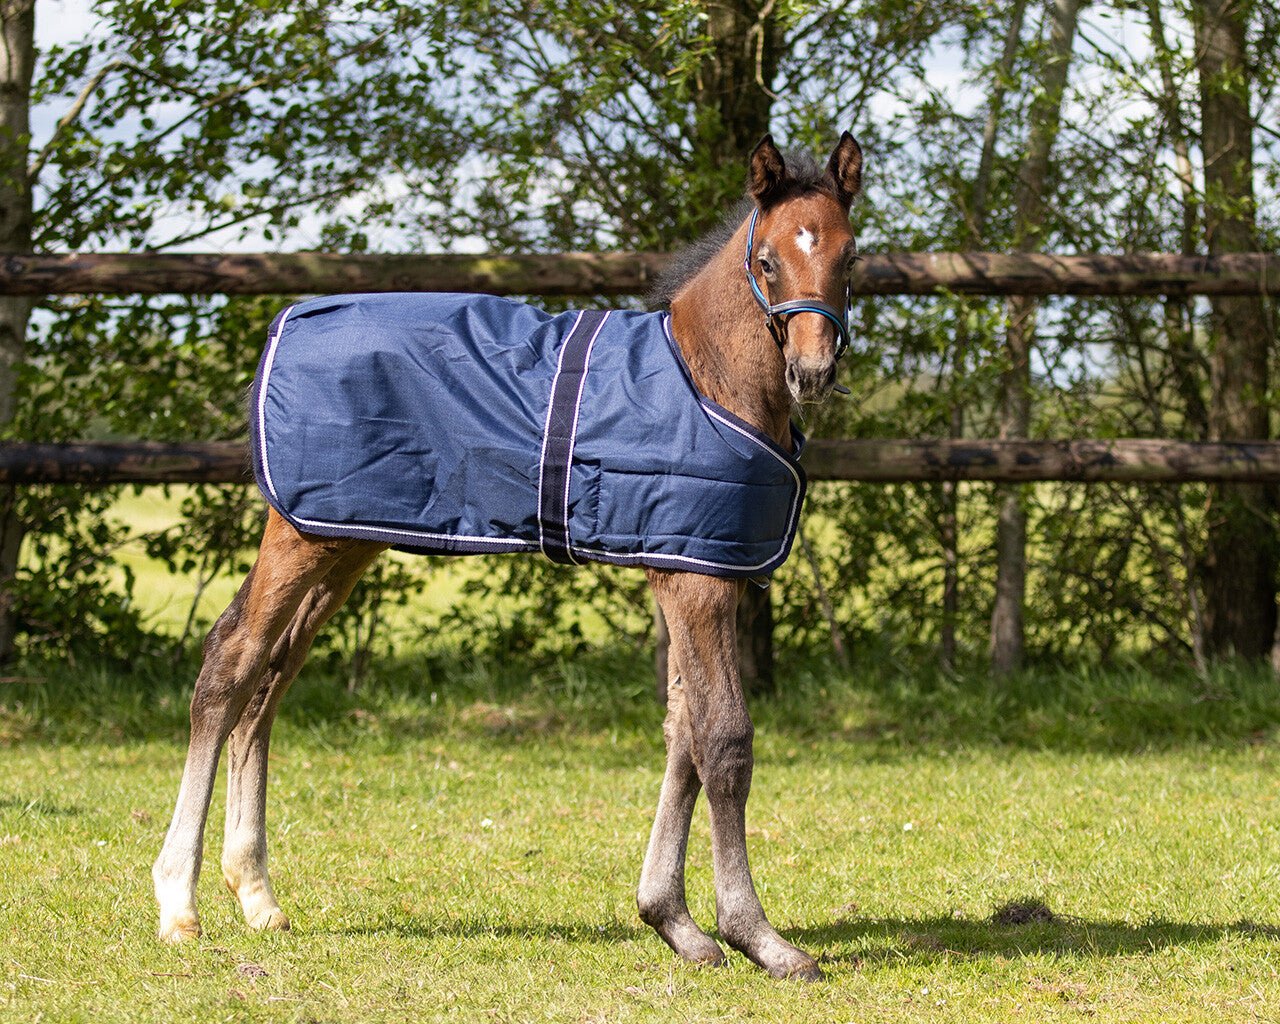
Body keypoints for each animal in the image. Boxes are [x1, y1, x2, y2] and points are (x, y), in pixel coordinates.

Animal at [152, 132, 863, 982]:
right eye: (767, 262)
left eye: (851, 257)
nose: (813, 372)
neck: (705, 379)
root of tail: (287, 321)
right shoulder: (695, 585)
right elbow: (722, 742)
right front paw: (757, 936)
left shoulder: (696, 571)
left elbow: (682, 737)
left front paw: (674, 922)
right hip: (301, 535)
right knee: (232, 662)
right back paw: (180, 904)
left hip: (341, 537)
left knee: (271, 680)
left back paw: (256, 894)